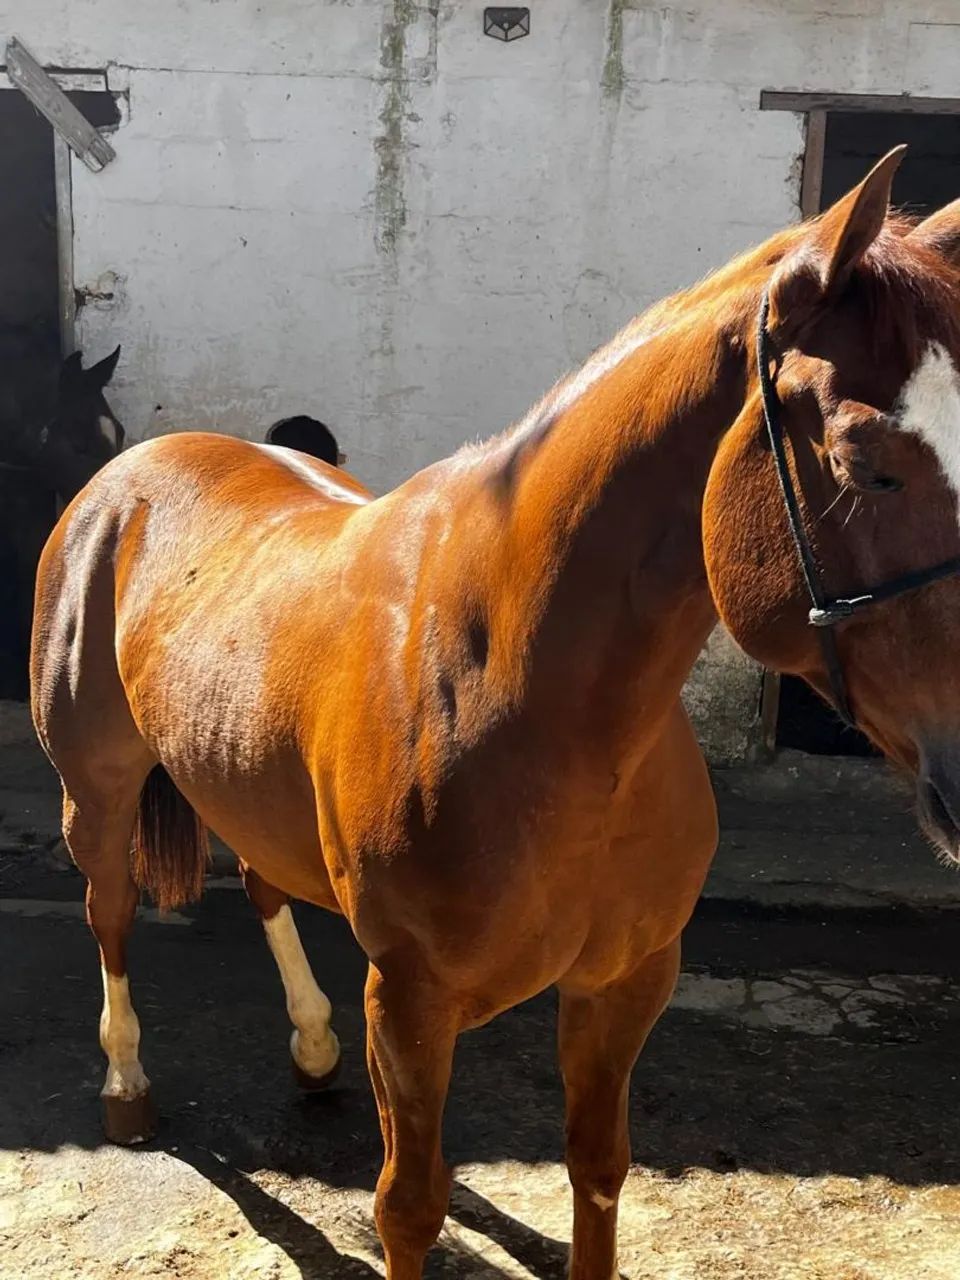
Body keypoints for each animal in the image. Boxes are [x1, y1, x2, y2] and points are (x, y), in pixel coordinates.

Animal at [30, 149, 960, 1279]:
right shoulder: (412, 1003)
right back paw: (127, 1086)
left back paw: (312, 1044)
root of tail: (123, 474)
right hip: (98, 789)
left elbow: (597, 1169)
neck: (530, 695)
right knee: (110, 908)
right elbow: (409, 1206)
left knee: (258, 880)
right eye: (871, 463)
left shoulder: (624, 981)